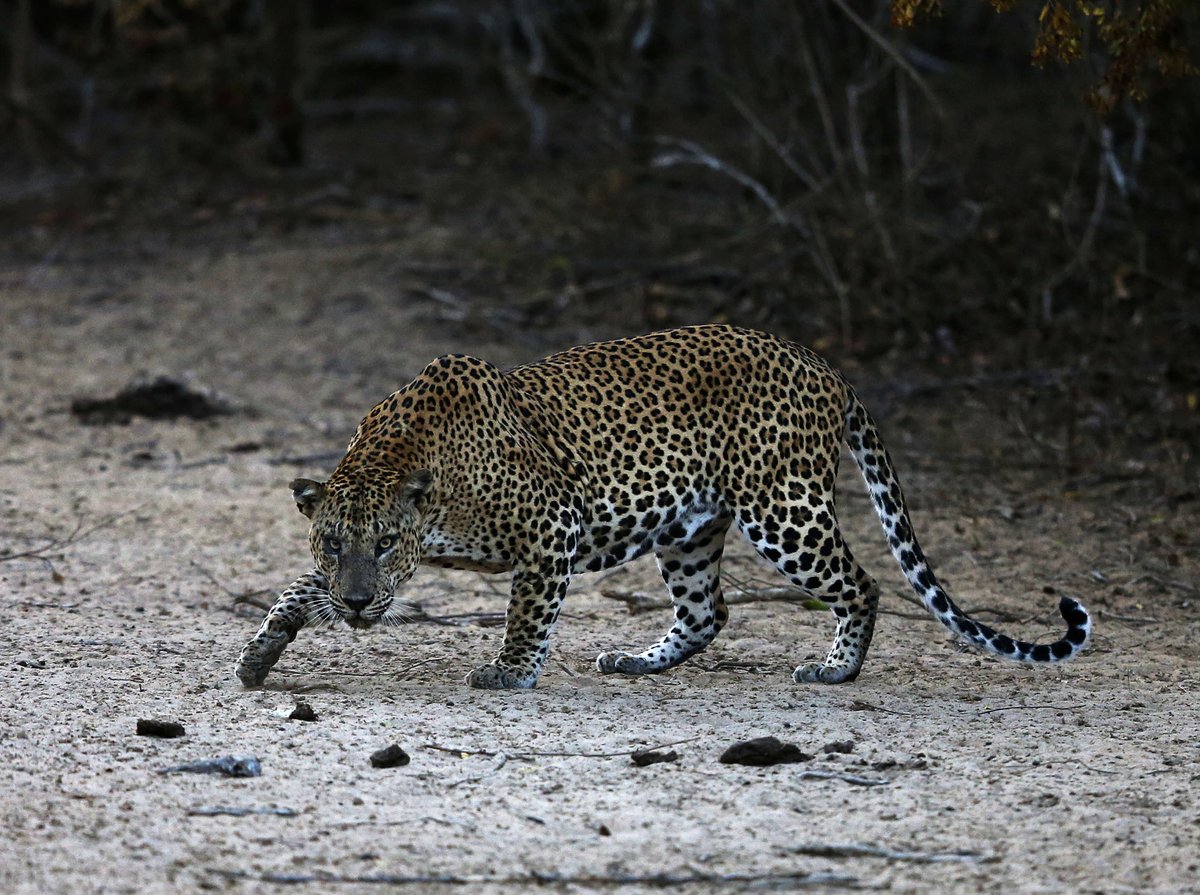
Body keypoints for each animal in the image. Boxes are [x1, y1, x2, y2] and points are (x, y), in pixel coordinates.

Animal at [234, 325, 1091, 690]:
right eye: (335, 542)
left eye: (385, 542)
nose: (358, 600)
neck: (417, 466)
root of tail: (824, 366)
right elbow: (296, 591)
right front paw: (263, 649)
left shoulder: (552, 527)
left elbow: (527, 611)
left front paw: (510, 671)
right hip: (690, 527)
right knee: (709, 609)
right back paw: (638, 659)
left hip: (784, 507)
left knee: (864, 583)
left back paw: (837, 668)